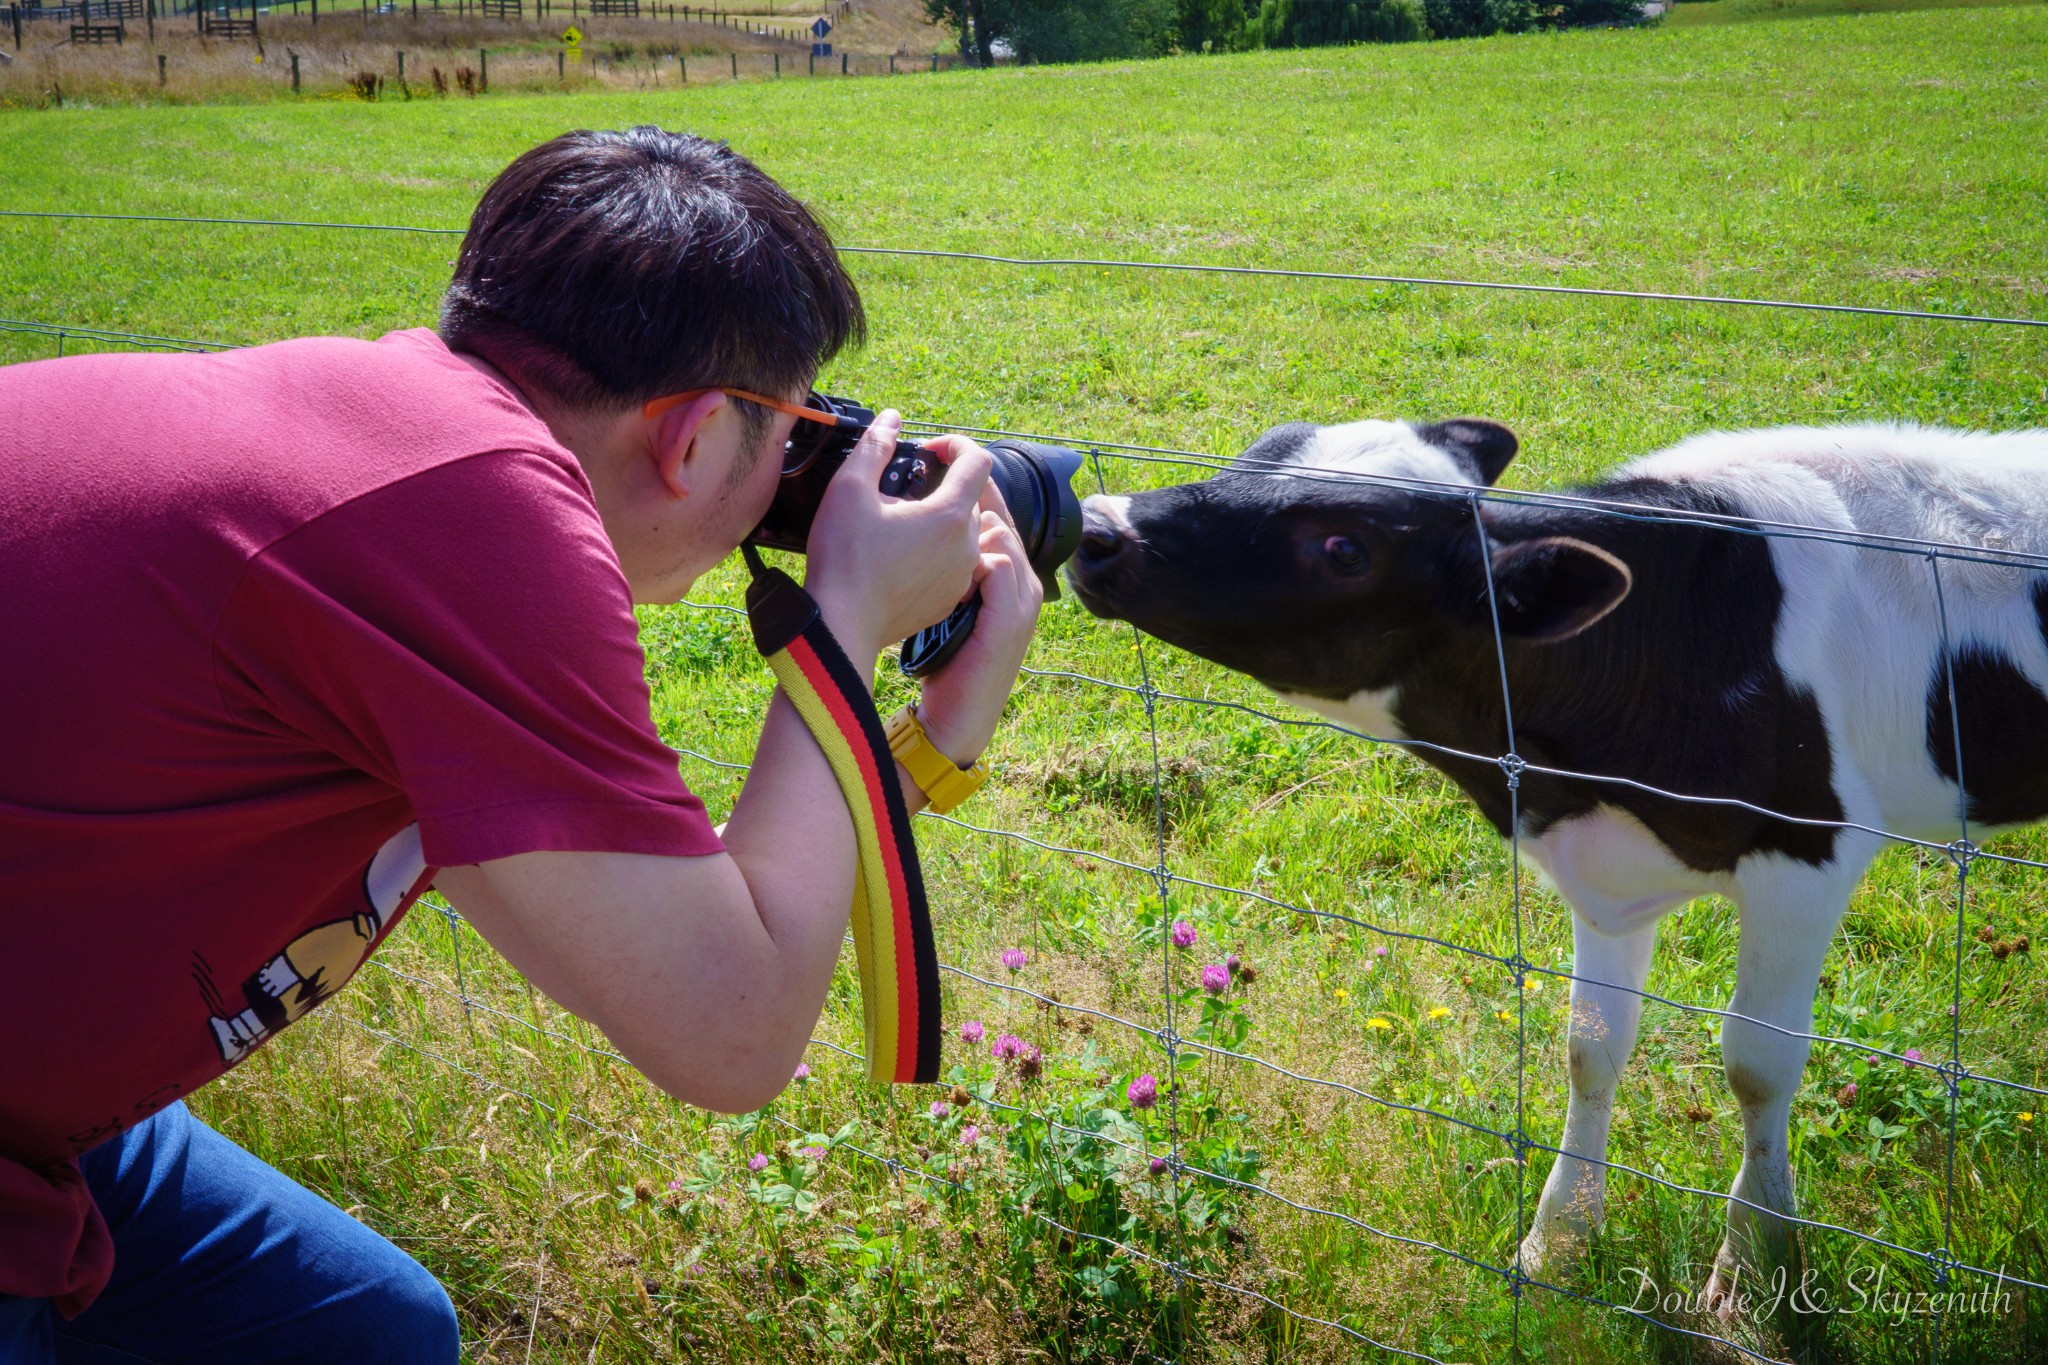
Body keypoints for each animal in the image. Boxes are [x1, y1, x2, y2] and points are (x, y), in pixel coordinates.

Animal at [1073, 419, 2048, 1301]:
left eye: (1345, 548)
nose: (1098, 525)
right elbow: (1590, 1048)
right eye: (1262, 448)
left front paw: (1755, 1264)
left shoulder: (1807, 855)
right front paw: (1559, 1237)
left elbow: (1758, 1064)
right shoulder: (1604, 872)